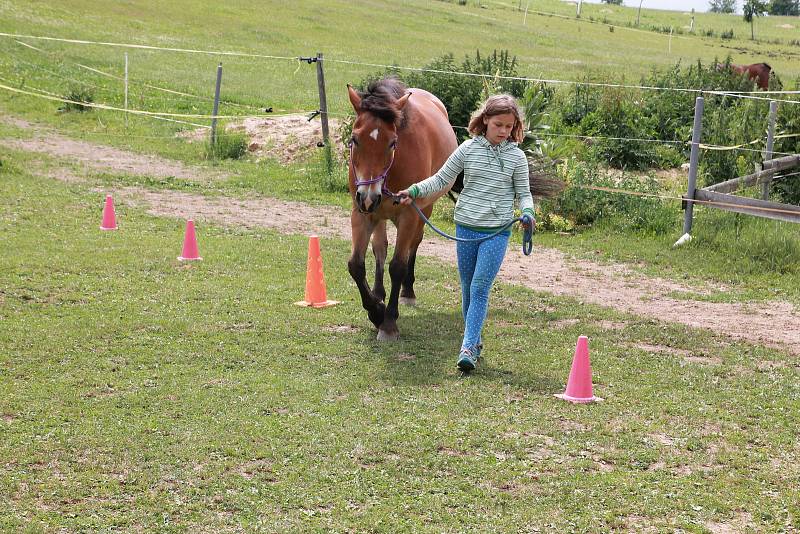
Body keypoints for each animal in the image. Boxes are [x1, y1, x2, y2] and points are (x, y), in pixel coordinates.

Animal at [346, 77, 456, 342]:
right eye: (355, 139)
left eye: (392, 142)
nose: (368, 197)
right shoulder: (361, 214)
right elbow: (356, 265)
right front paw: (375, 310)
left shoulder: (408, 215)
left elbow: (398, 265)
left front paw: (388, 323)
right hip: (378, 214)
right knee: (380, 249)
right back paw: (379, 293)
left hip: (422, 211)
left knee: (413, 246)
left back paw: (407, 291)